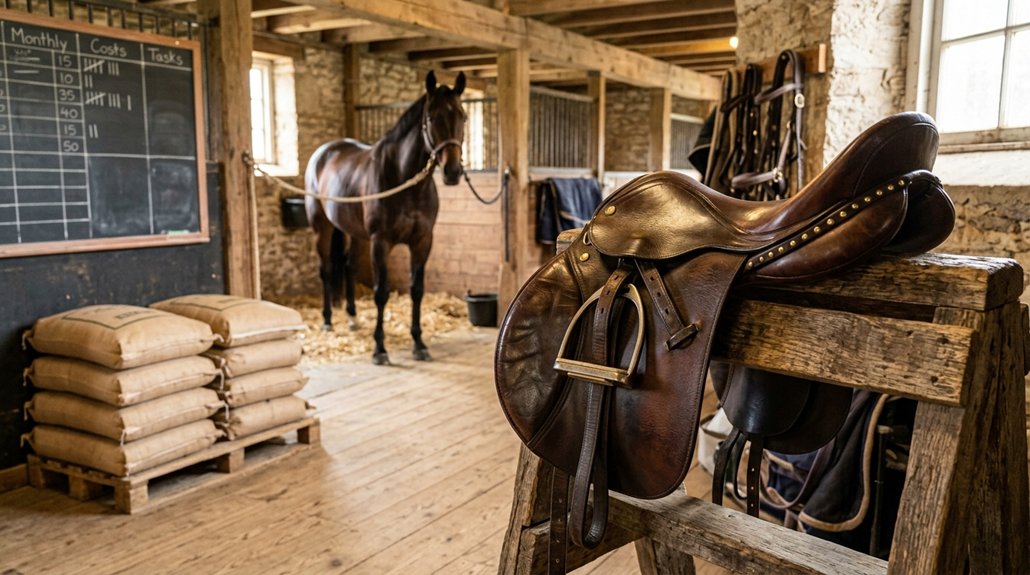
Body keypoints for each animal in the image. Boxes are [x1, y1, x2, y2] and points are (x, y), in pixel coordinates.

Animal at [305, 70, 467, 365]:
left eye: (463, 116)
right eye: (431, 118)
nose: (452, 171)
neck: (405, 182)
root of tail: (325, 152)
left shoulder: (423, 241)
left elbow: (417, 290)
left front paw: (419, 343)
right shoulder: (381, 242)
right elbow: (381, 292)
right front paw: (380, 349)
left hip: (354, 232)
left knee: (349, 266)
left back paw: (353, 318)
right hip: (322, 228)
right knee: (326, 270)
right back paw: (327, 321)